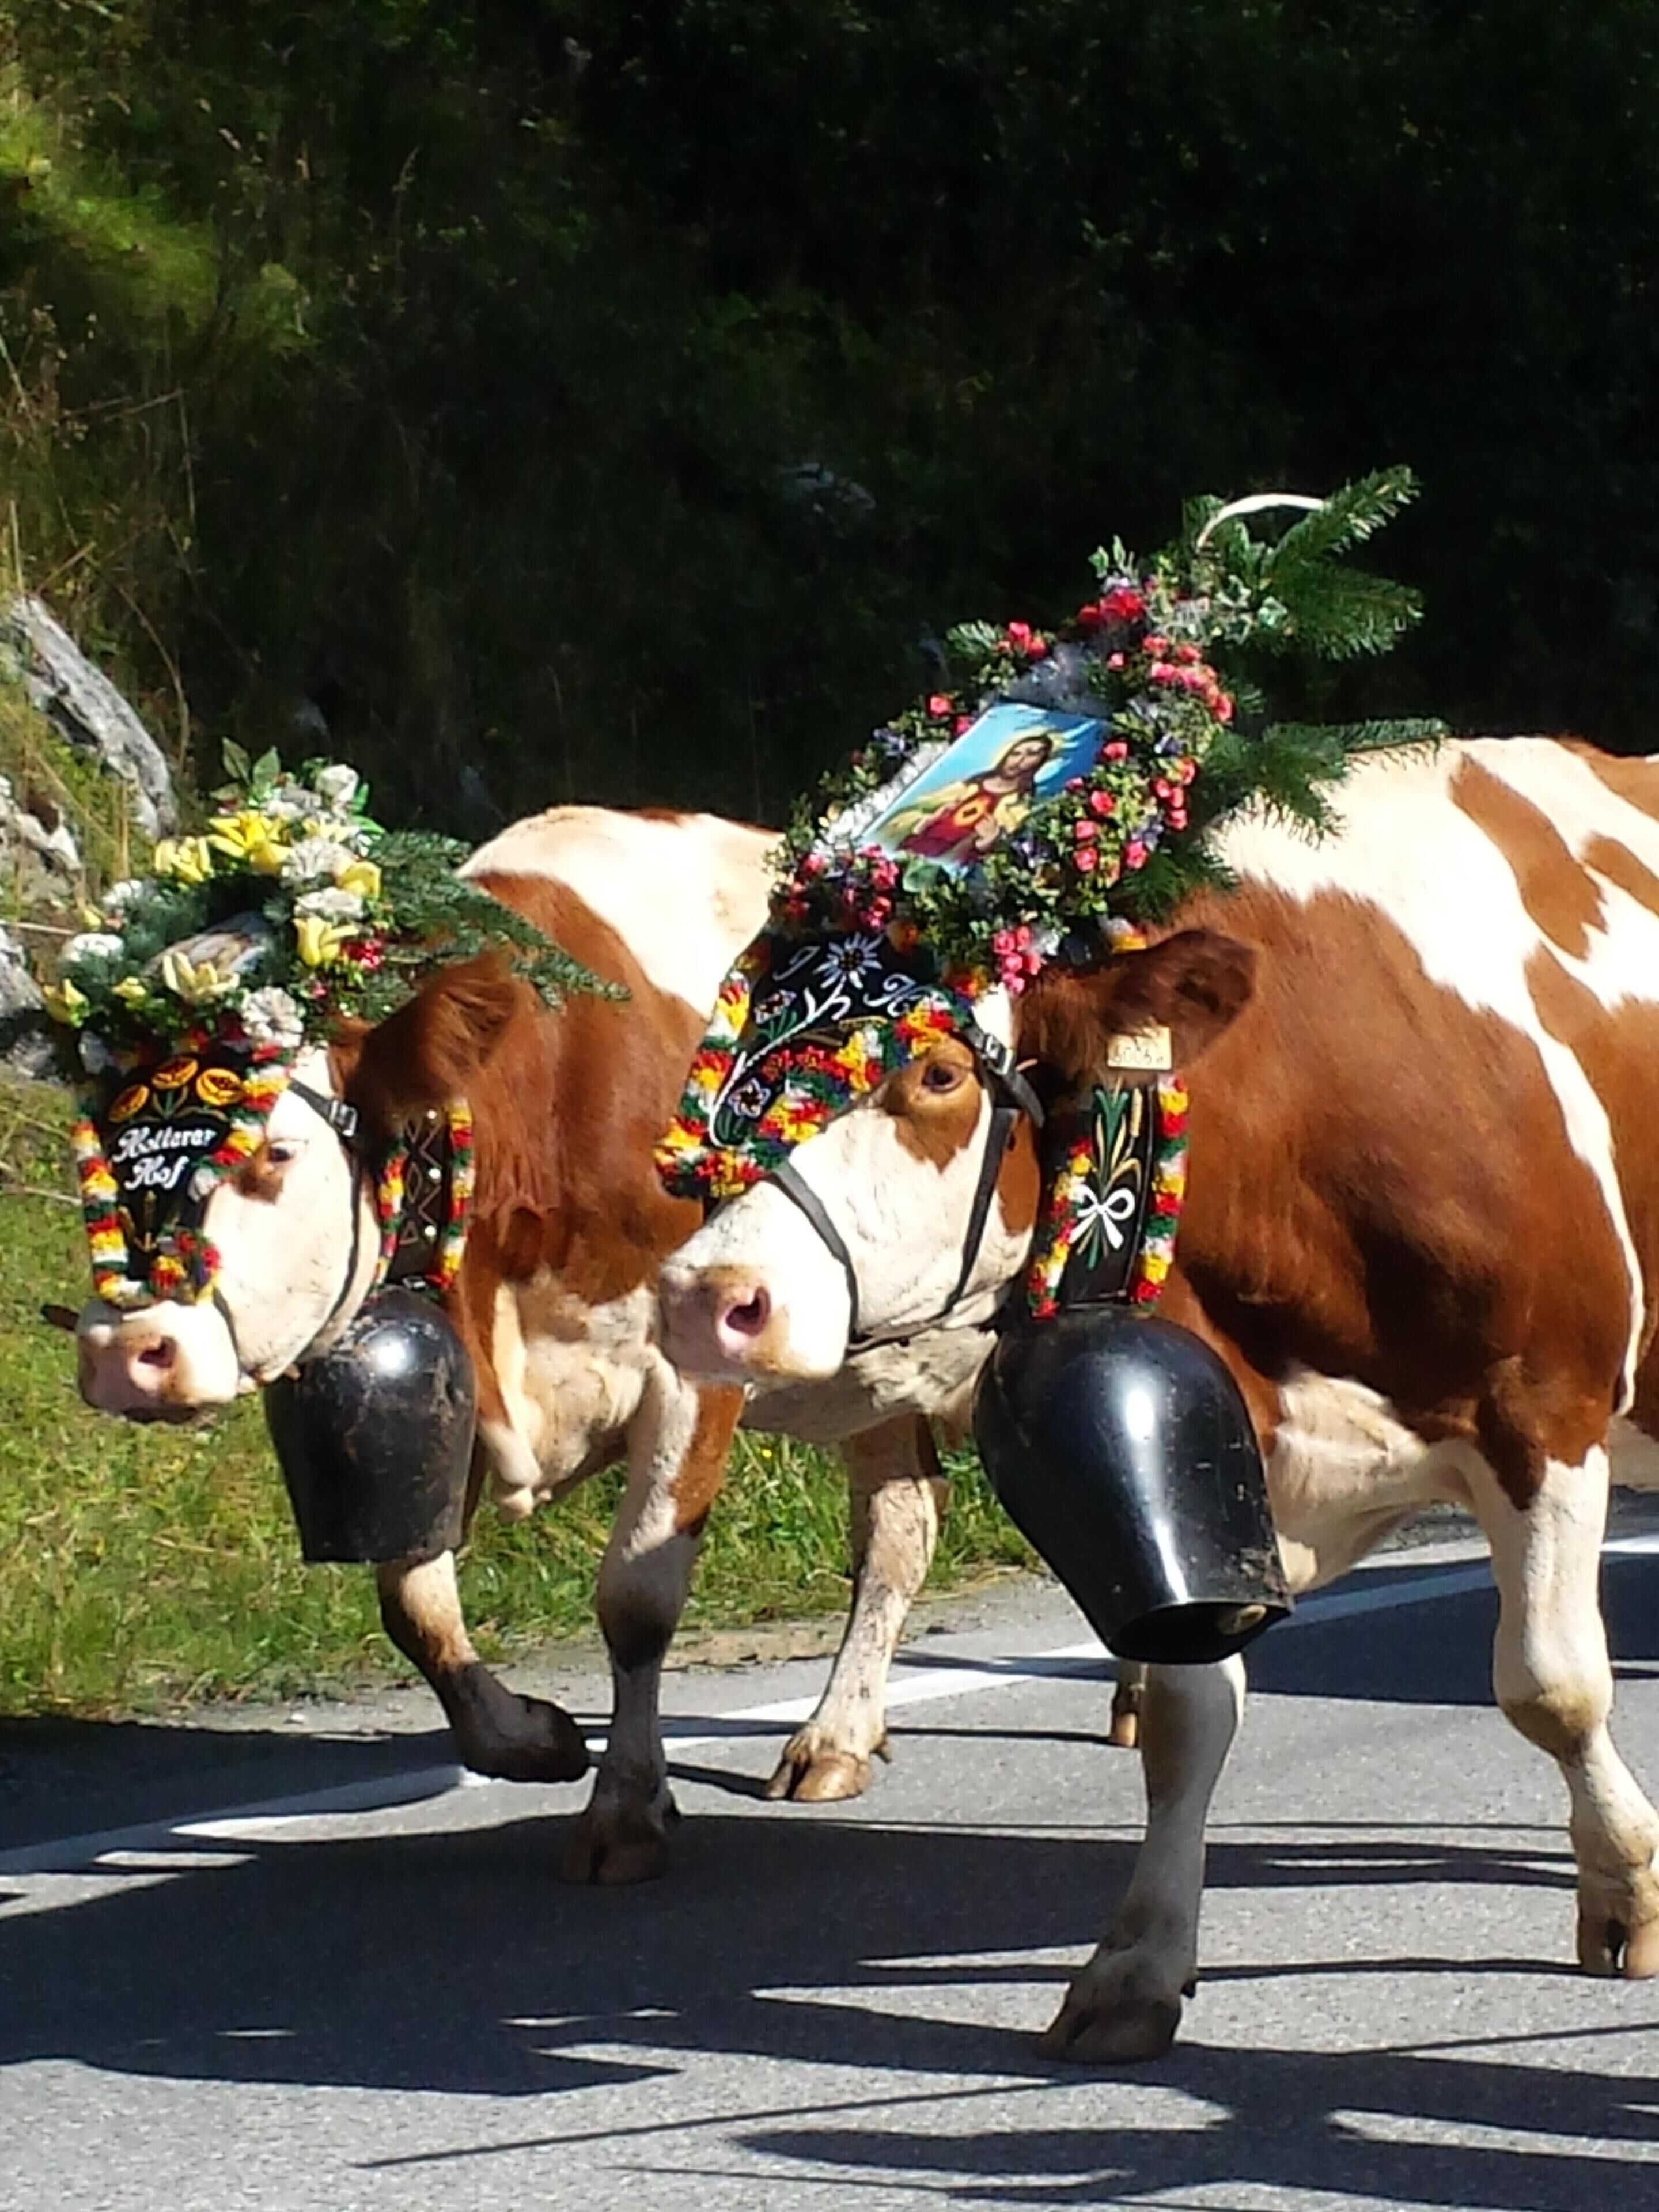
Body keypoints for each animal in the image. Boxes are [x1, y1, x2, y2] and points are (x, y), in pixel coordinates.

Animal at [72, 805, 993, 1870]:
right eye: (98, 1147)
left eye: (274, 1152)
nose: (124, 1352)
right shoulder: (458, 1379)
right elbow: (415, 1600)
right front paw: (531, 1741)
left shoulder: (691, 1370)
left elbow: (636, 1598)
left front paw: (626, 1809)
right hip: (876, 1386)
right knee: (901, 1530)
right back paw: (837, 1736)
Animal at [656, 735, 1659, 2059]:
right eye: (736, 1064)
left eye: (936, 1072)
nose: (702, 1297)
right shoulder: (1218, 1468)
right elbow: (1187, 1717)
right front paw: (1135, 1965)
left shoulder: (1544, 1406)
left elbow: (1552, 1682)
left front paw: (1625, 1891)